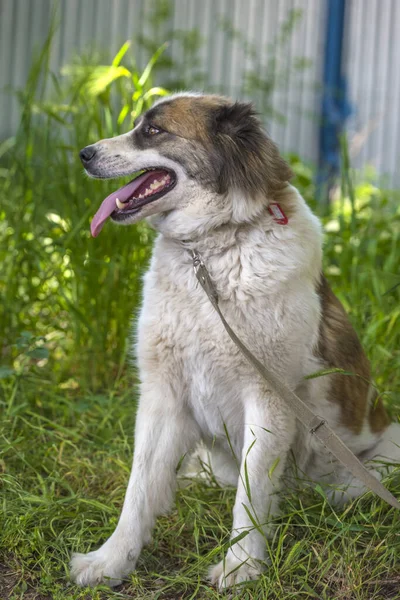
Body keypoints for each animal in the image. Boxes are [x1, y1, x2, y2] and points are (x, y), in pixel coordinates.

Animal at [71, 95, 396, 592]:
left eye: (153, 131)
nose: (84, 154)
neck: (210, 250)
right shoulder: (162, 396)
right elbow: (139, 489)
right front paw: (112, 561)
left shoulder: (267, 401)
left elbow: (251, 492)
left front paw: (241, 566)